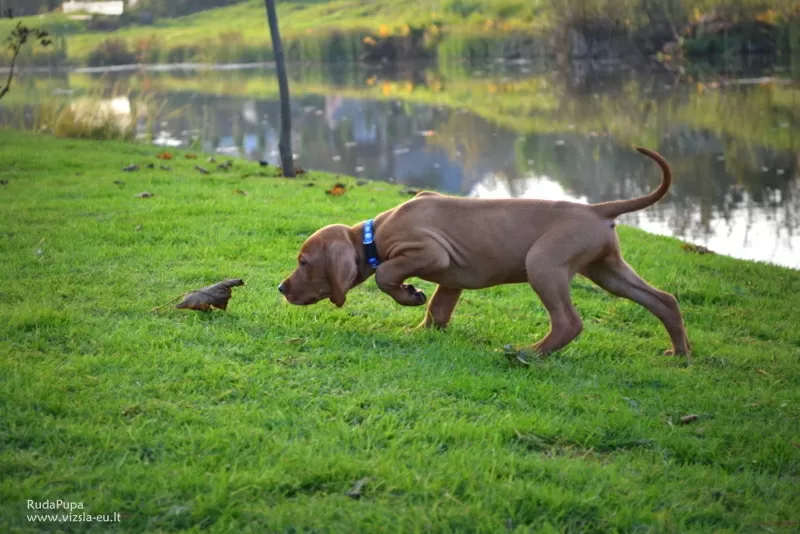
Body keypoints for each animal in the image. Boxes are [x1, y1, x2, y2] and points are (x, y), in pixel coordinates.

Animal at [278, 149, 692, 362]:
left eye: (303, 263)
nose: (281, 288)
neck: (372, 236)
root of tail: (596, 210)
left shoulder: (431, 252)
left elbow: (385, 275)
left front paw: (408, 295)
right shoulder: (450, 280)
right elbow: (438, 311)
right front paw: (421, 329)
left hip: (544, 264)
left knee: (569, 322)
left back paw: (529, 353)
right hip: (606, 269)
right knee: (663, 299)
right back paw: (680, 353)